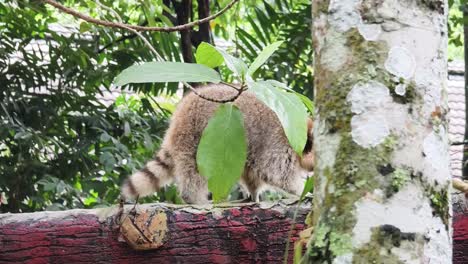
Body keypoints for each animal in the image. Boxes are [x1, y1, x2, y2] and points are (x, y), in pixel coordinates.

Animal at [120, 83, 314, 203]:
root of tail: (177, 118)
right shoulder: (278, 143)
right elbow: (278, 175)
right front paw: (302, 191)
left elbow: (251, 174)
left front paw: (254, 194)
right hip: (196, 137)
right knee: (194, 170)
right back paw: (193, 198)